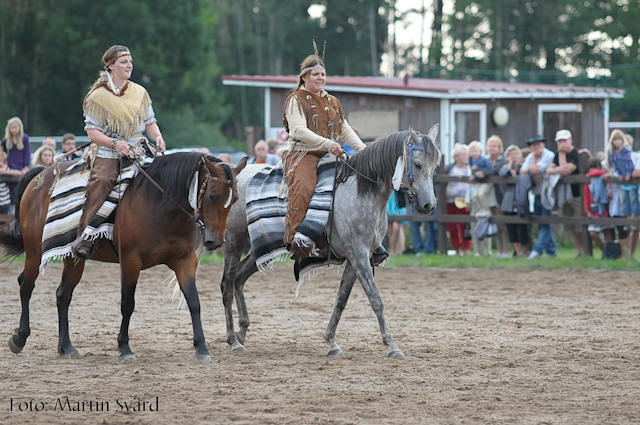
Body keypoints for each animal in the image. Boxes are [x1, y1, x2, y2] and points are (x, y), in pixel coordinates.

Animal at [1, 152, 246, 362]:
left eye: (234, 200)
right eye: (213, 195)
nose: (215, 242)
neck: (160, 203)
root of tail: (41, 175)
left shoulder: (185, 261)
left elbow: (194, 302)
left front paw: (202, 348)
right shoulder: (130, 261)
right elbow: (127, 304)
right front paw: (125, 348)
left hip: (73, 259)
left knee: (63, 295)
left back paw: (66, 347)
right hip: (35, 252)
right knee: (26, 285)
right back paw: (19, 338)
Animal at [220, 125, 440, 358]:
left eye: (435, 165)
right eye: (417, 164)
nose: (429, 205)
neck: (361, 193)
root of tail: (238, 174)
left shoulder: (356, 260)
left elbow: (341, 300)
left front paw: (331, 342)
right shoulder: (359, 256)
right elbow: (375, 300)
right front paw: (392, 346)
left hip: (262, 248)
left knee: (239, 278)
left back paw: (242, 331)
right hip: (234, 240)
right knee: (227, 283)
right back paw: (233, 339)